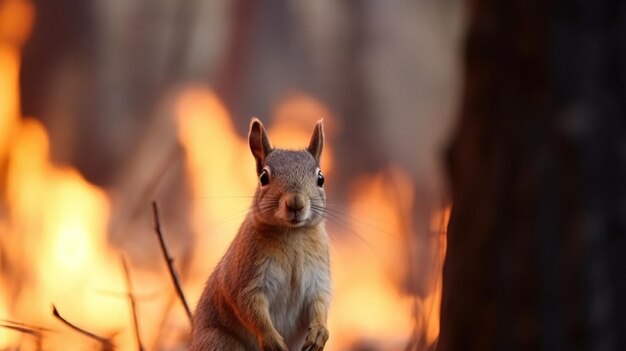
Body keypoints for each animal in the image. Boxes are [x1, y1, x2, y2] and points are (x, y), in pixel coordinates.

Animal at [191, 118, 332, 351]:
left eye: (321, 178)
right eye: (264, 177)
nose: (295, 202)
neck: (293, 235)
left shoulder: (318, 278)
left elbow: (321, 303)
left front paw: (320, 331)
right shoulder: (247, 279)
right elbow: (252, 309)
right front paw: (273, 341)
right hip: (220, 342)